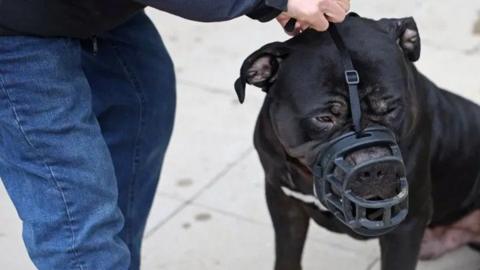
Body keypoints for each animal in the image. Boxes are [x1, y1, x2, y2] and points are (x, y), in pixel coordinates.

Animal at [234, 14, 480, 270]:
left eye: (390, 108)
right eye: (324, 118)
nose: (374, 168)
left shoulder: (408, 222)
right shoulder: (283, 199)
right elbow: (287, 255)